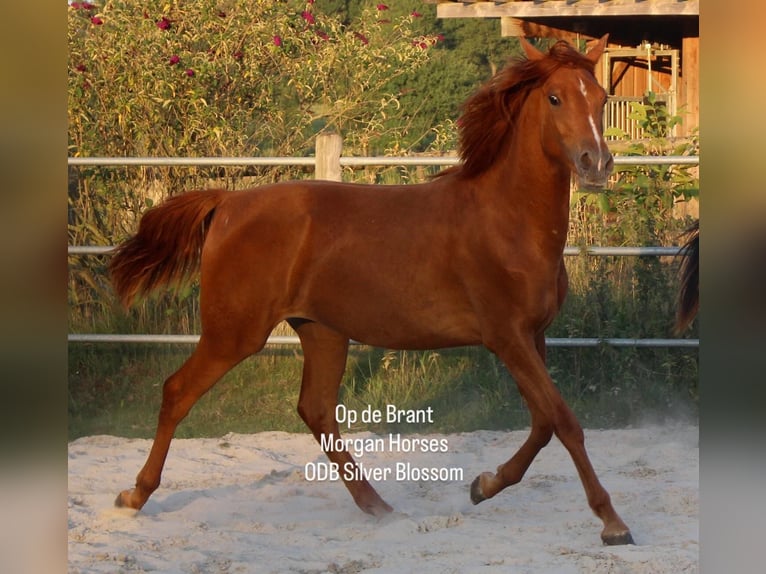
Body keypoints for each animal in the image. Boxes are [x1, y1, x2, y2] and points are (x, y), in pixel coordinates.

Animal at [108, 35, 634, 545]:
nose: (597, 163)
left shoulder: (533, 335)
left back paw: (378, 506)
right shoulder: (507, 337)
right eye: (554, 97)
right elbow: (564, 421)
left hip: (321, 330)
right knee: (178, 392)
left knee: (316, 411)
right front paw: (612, 523)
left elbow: (543, 423)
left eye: (601, 98)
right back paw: (134, 496)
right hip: (234, 333)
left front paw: (483, 486)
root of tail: (227, 203)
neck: (507, 220)